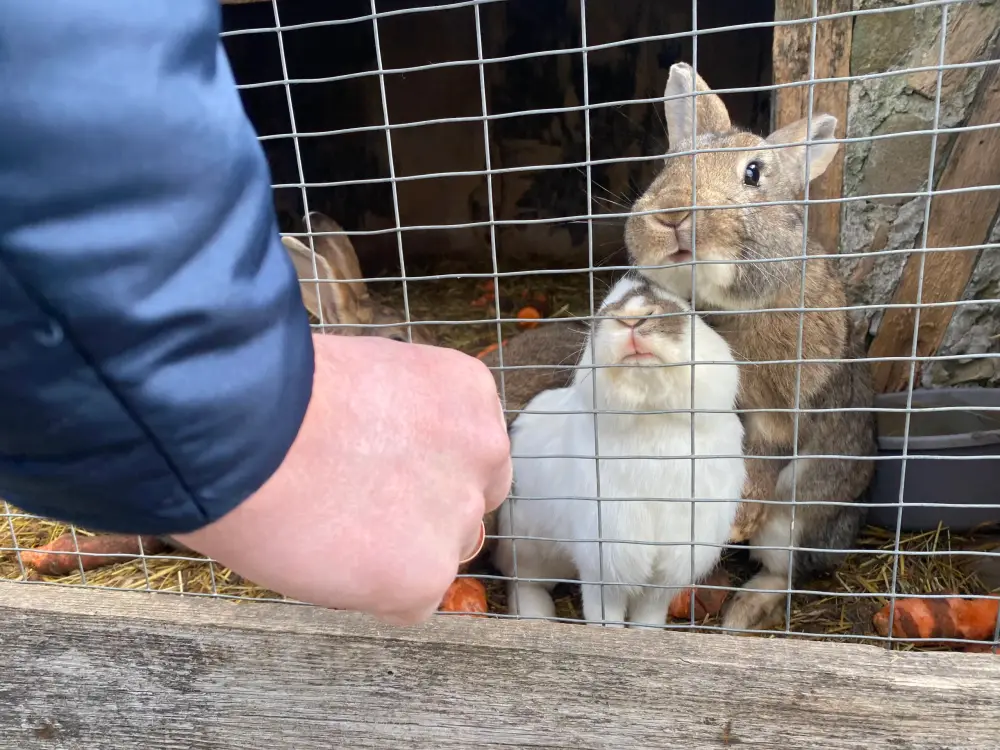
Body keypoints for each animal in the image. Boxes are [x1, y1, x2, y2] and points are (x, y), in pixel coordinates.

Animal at [493, 272, 745, 628]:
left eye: (685, 306)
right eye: (605, 305)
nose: (632, 319)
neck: (652, 420)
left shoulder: (665, 576)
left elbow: (648, 620)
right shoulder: (604, 567)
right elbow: (605, 618)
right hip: (528, 544)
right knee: (523, 582)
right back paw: (537, 617)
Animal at [623, 62, 876, 631]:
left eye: (754, 174)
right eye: (666, 167)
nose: (672, 214)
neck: (732, 307)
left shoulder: (783, 405)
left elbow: (763, 451)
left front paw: (741, 518)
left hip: (796, 524)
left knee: (786, 570)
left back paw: (743, 610)